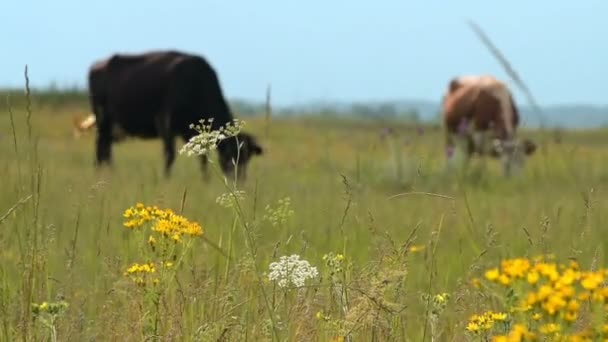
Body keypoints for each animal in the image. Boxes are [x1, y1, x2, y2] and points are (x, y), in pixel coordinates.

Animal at [82, 51, 262, 180]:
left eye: (247, 158)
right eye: (232, 154)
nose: (240, 180)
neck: (196, 82)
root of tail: (98, 65)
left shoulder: (193, 133)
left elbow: (202, 158)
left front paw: (205, 180)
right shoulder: (165, 123)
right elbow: (169, 155)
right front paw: (166, 178)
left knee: (105, 149)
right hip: (103, 120)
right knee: (102, 148)